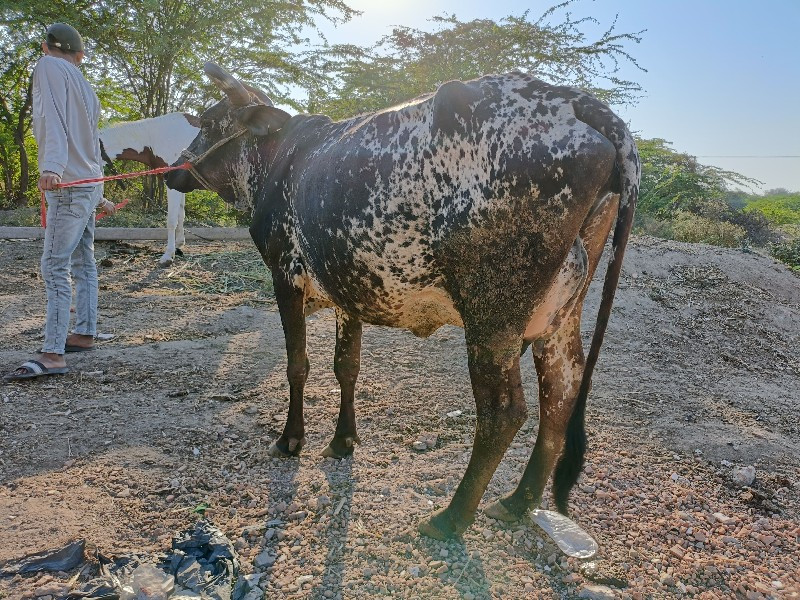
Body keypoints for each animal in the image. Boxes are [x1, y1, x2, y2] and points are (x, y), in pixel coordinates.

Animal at [166, 63, 640, 540]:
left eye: (208, 122)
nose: (173, 171)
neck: (279, 159)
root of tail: (572, 101)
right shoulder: (348, 293)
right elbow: (347, 367)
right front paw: (343, 440)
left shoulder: (285, 278)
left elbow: (297, 365)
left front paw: (290, 439)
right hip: (559, 317)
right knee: (561, 389)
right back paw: (516, 502)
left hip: (492, 319)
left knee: (503, 413)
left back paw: (452, 517)